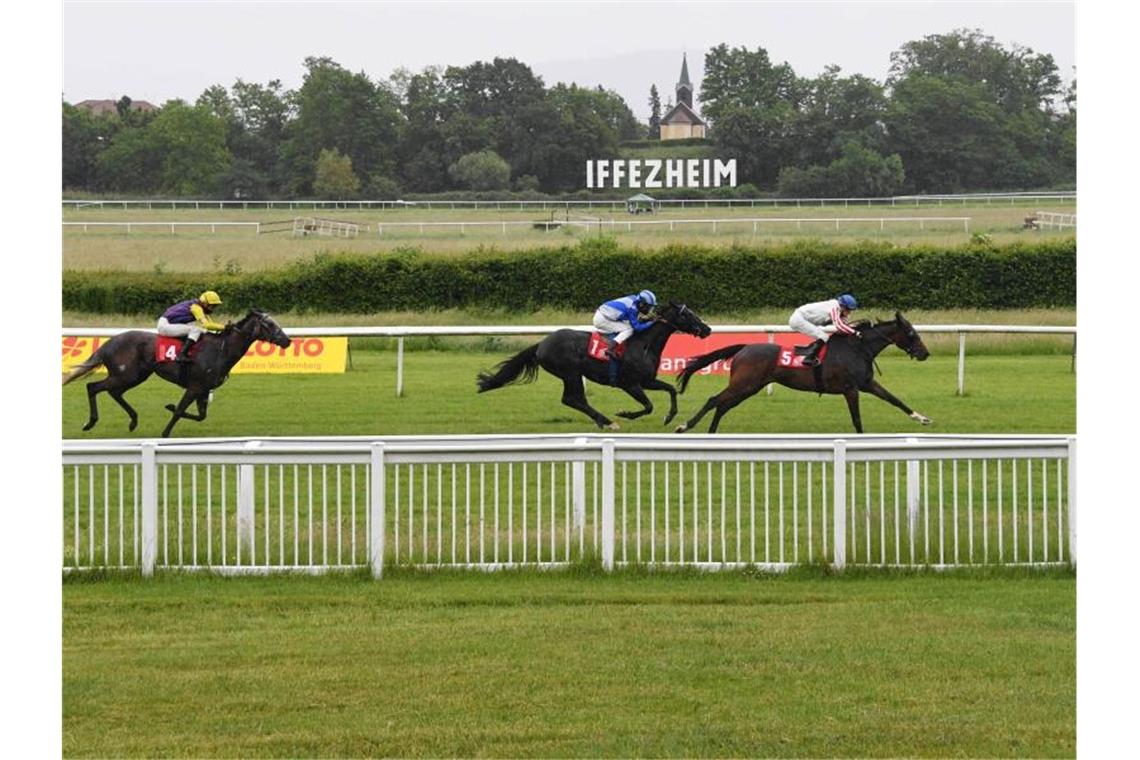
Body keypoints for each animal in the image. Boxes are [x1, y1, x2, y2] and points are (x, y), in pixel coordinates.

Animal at [62, 309, 291, 437]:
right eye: (269, 324)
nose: (287, 340)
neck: (221, 349)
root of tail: (109, 342)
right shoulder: (195, 386)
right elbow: (181, 410)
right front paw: (165, 432)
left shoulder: (204, 389)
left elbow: (201, 416)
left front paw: (169, 407)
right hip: (126, 375)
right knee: (93, 387)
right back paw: (90, 422)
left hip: (135, 376)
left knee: (113, 392)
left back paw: (133, 420)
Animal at [474, 305, 706, 430]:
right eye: (687, 314)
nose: (706, 329)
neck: (643, 344)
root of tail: (541, 344)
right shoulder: (630, 383)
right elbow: (648, 406)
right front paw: (625, 414)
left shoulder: (647, 380)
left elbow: (671, 389)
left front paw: (670, 416)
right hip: (571, 373)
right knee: (572, 399)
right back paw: (608, 422)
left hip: (572, 375)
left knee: (574, 399)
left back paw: (604, 421)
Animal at [670, 312, 930, 432]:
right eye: (911, 333)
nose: (925, 353)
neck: (858, 348)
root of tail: (744, 347)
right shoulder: (851, 389)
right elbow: (856, 418)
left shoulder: (867, 384)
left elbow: (895, 400)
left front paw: (922, 417)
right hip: (744, 384)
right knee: (714, 400)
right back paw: (685, 426)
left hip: (749, 387)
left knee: (723, 405)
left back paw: (712, 432)